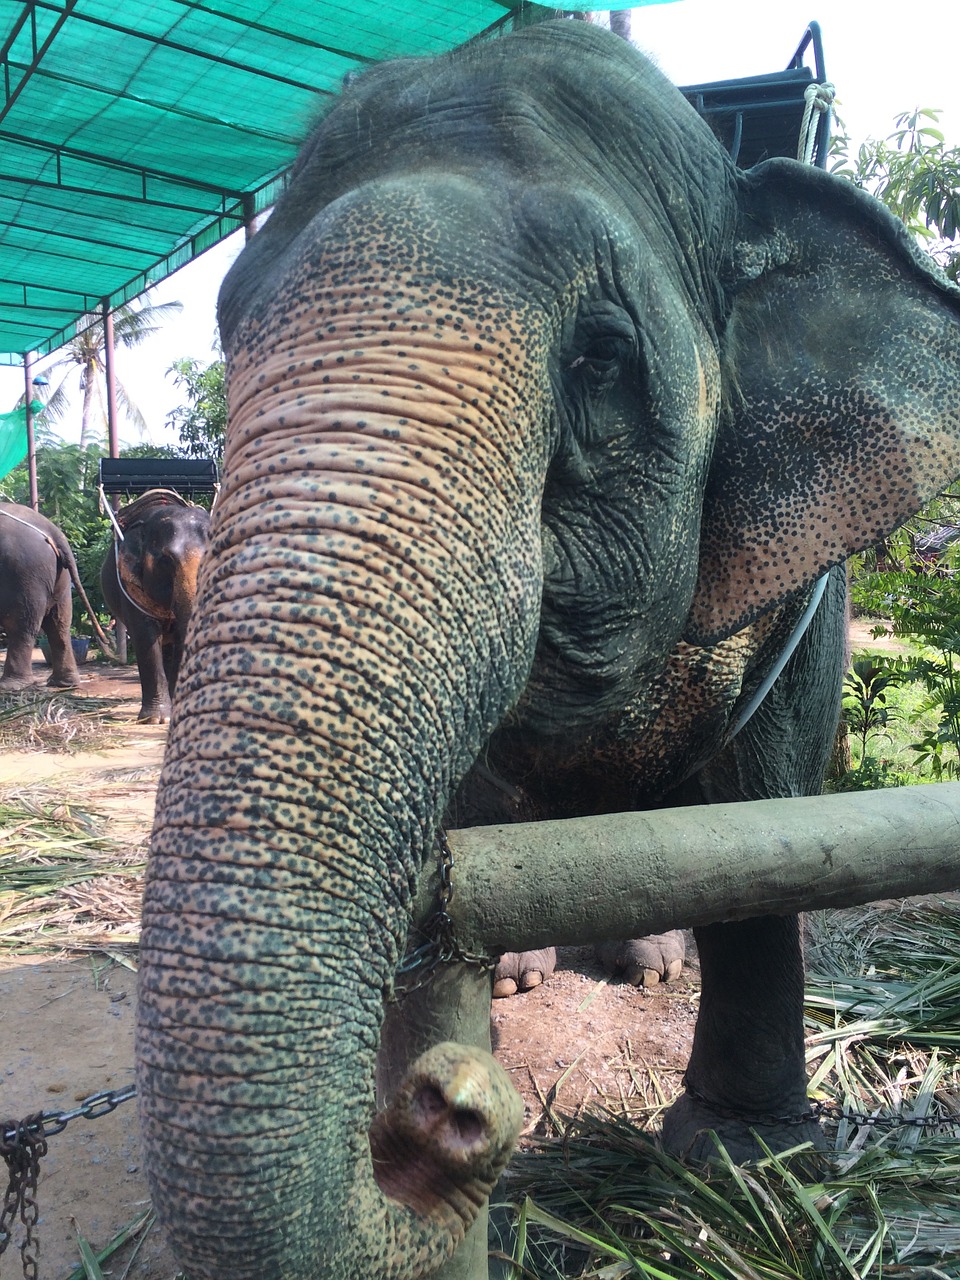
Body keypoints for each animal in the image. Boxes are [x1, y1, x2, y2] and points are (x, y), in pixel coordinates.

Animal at [0, 504, 106, 696]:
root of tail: (53, 532)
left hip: (23, 575)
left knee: (21, 627)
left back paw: (10, 687)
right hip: (60, 577)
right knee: (59, 625)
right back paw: (64, 683)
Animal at [136, 17, 960, 1280]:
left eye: (601, 359)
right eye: (231, 333)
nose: (447, 1110)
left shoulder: (810, 582)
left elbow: (764, 802)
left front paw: (744, 1159)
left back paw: (652, 965)